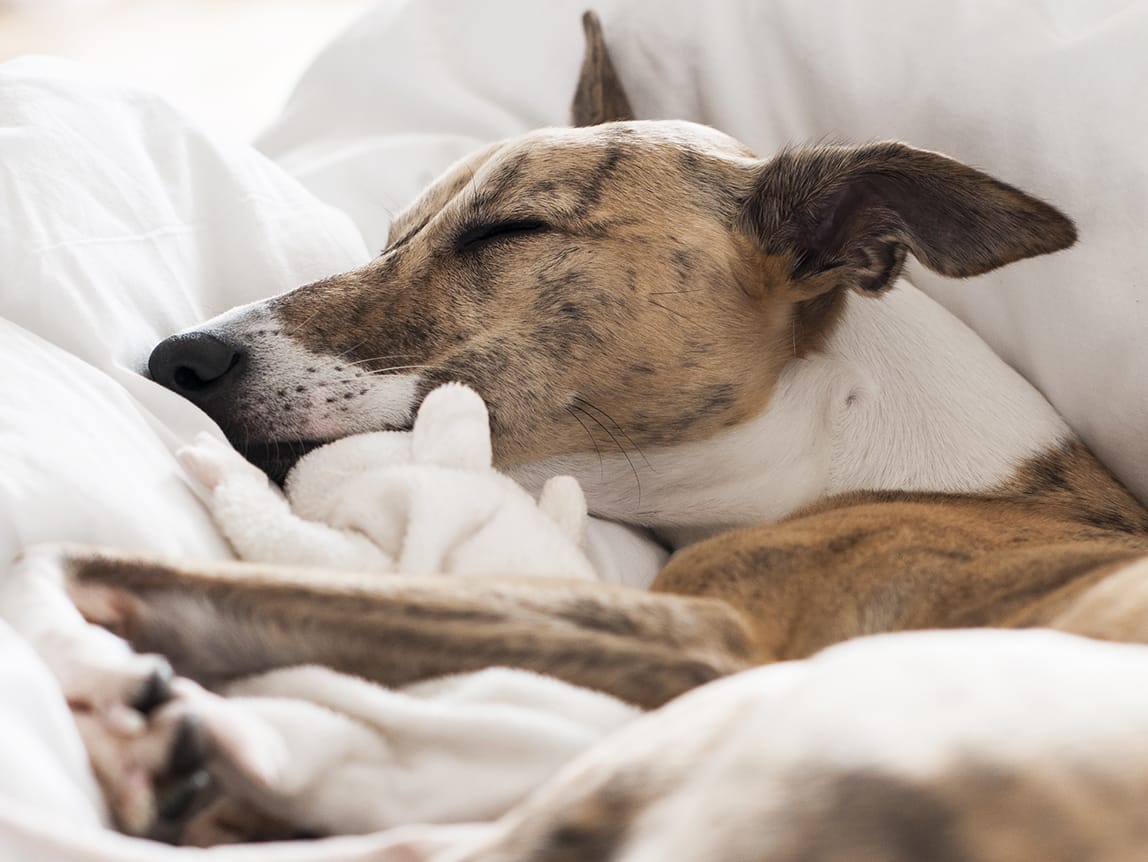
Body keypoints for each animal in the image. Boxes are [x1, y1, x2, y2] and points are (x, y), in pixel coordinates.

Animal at [8, 10, 1148, 858]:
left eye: (507, 228)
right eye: (393, 235)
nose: (177, 360)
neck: (865, 444)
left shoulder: (707, 632)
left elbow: (94, 561)